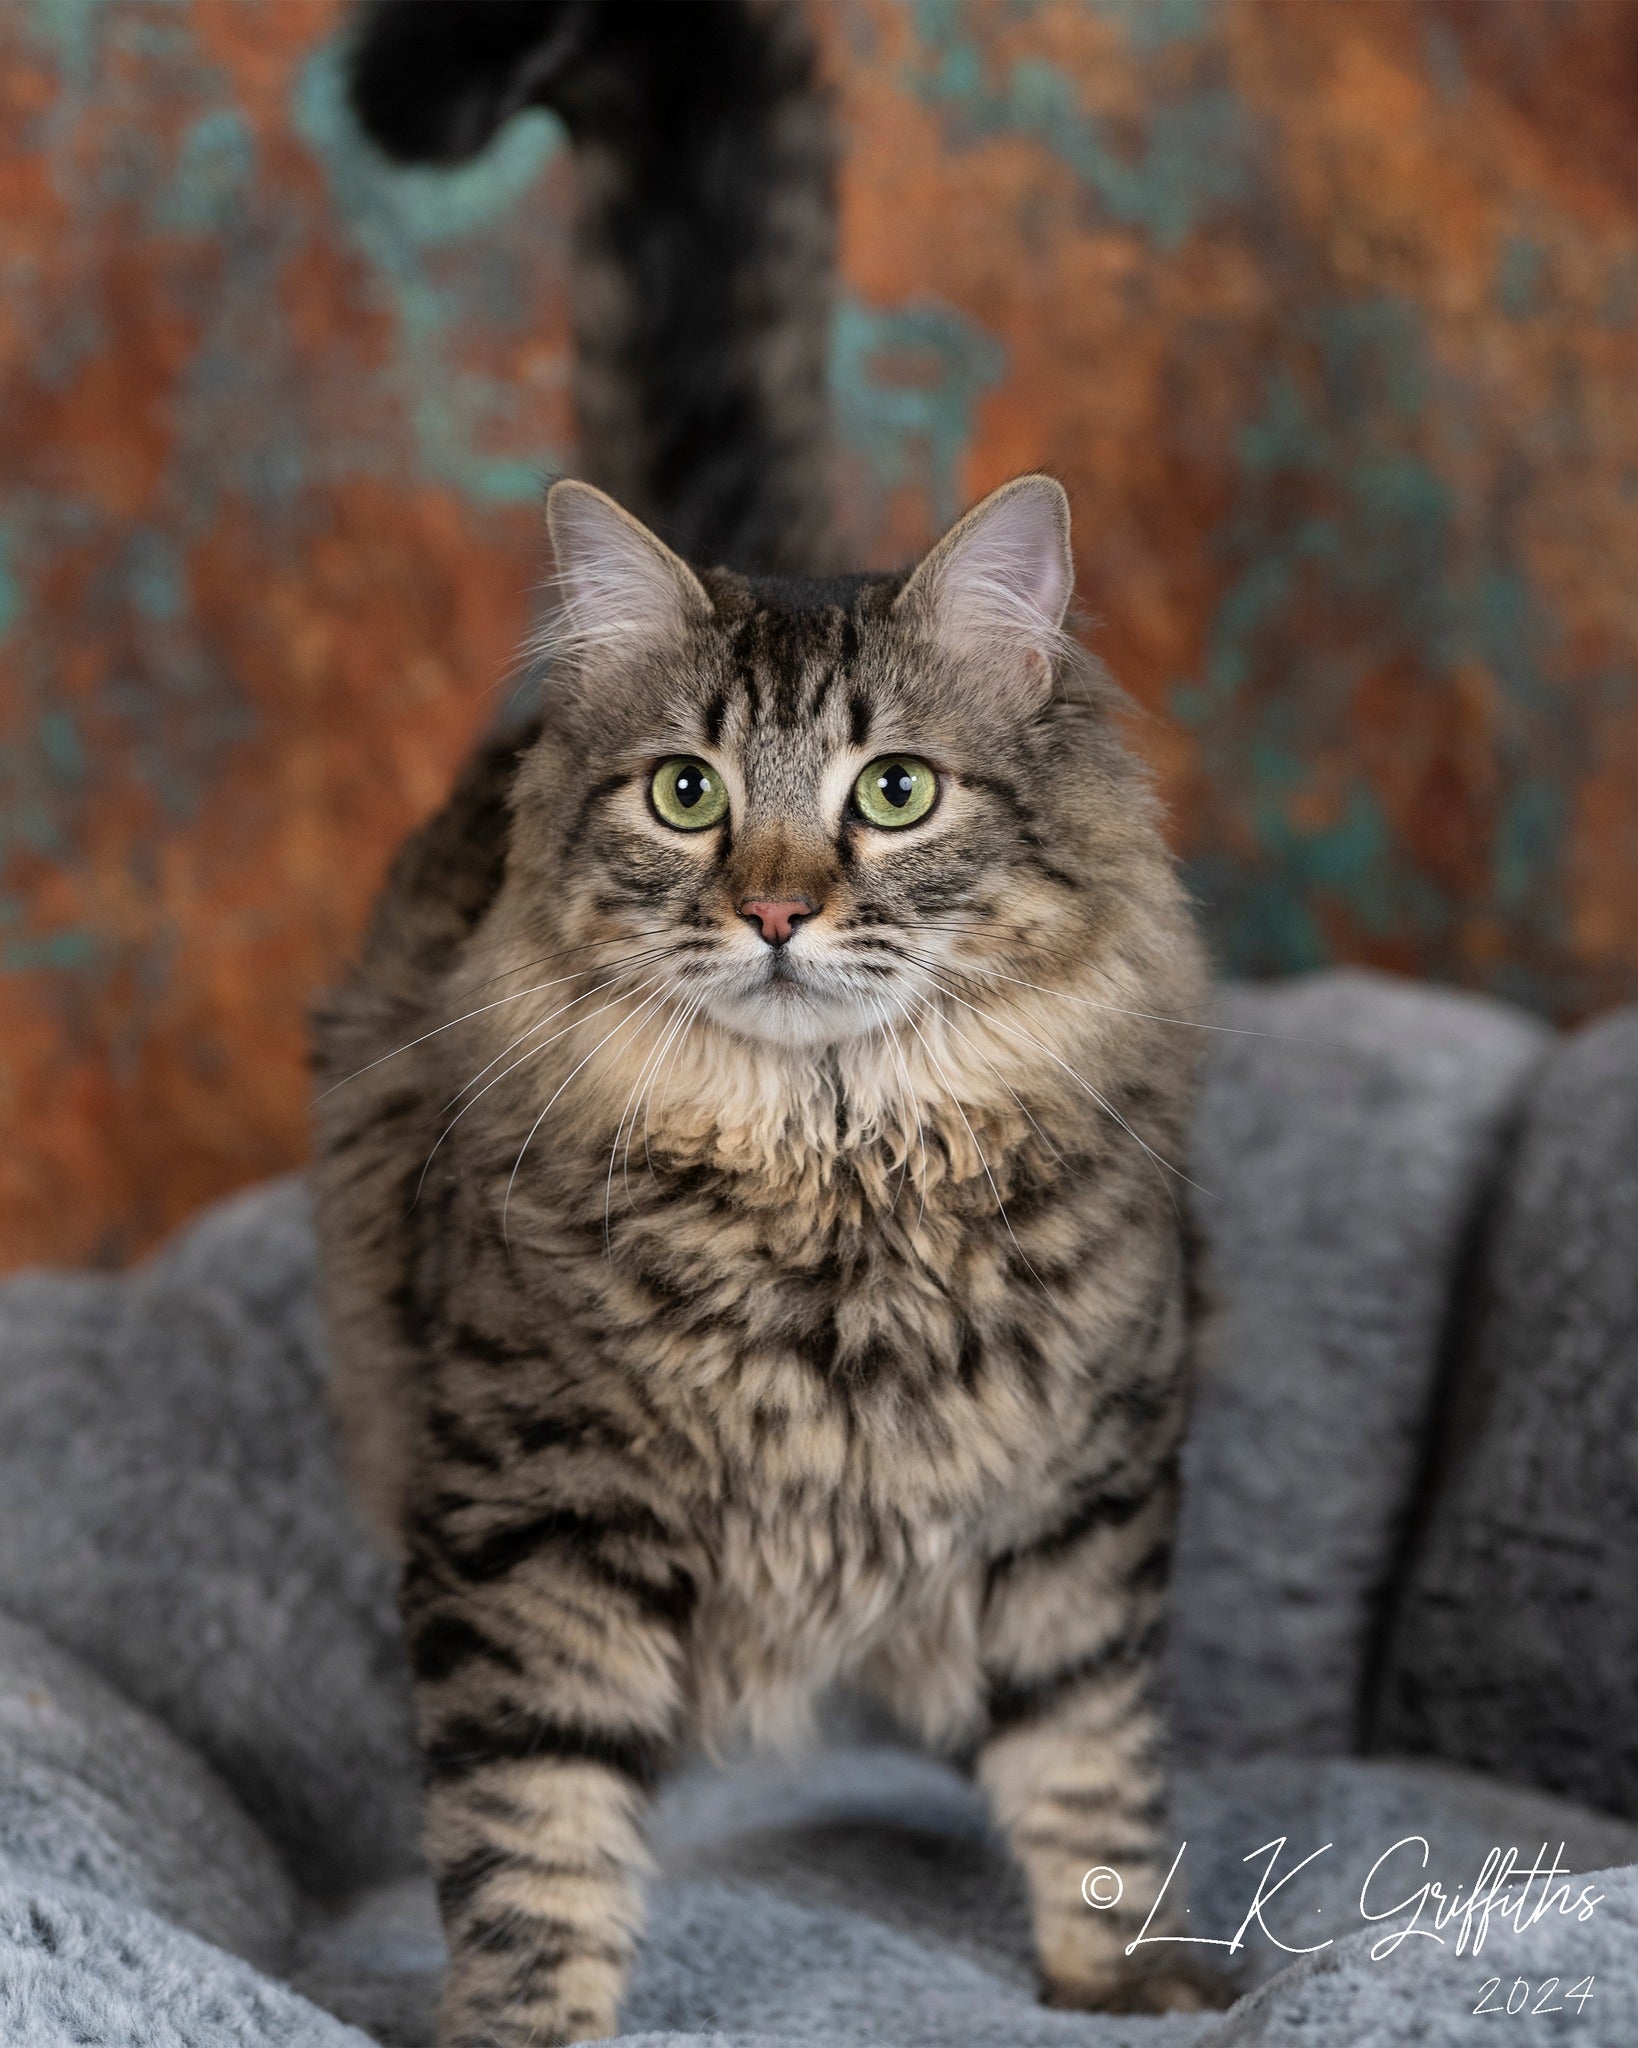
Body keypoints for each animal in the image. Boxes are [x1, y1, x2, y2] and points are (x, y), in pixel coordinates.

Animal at [317, 4, 1212, 2048]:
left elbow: (1092, 1773)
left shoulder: (1078, 1506)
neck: (835, 1175)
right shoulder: (533, 1520)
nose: (781, 906)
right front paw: (531, 2031)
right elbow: (536, 1839)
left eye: (892, 792)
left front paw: (1129, 1987)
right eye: (683, 794)